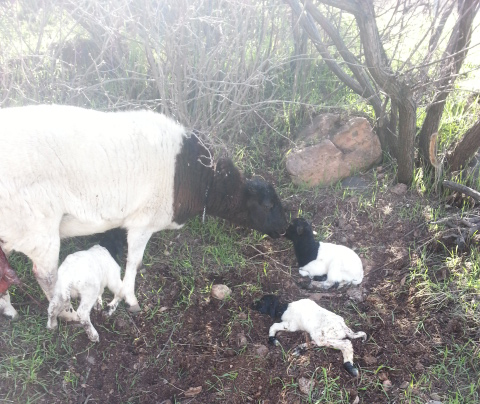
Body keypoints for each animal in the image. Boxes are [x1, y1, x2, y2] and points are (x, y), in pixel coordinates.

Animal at [0, 104, 287, 320]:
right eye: (267, 205)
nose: (285, 228)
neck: (200, 179)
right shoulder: (143, 221)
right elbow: (134, 262)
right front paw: (130, 299)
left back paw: (9, 309)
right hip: (38, 224)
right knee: (46, 276)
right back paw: (67, 314)